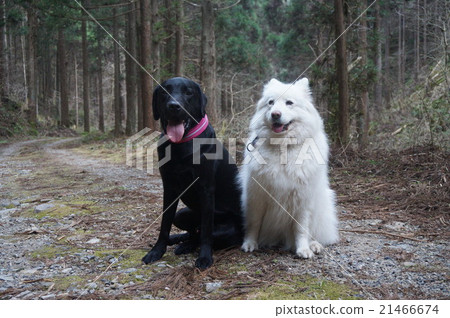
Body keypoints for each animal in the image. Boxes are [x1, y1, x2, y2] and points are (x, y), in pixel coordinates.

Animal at [143, 76, 243, 268]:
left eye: (188, 92)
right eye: (164, 92)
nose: (174, 106)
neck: (181, 145)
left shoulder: (206, 189)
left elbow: (206, 232)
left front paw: (204, 258)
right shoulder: (169, 188)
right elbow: (164, 224)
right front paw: (157, 251)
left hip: (226, 229)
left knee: (200, 234)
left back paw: (186, 245)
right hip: (182, 215)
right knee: (192, 232)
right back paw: (178, 240)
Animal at [239, 79, 338, 258]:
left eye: (289, 103)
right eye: (271, 103)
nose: (275, 114)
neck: (283, 148)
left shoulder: (302, 199)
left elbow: (301, 228)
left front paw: (303, 249)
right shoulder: (256, 196)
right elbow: (254, 223)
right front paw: (249, 243)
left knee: (313, 232)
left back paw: (314, 245)